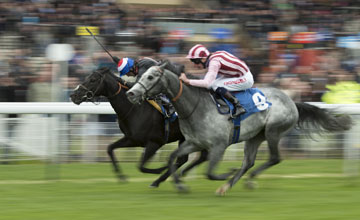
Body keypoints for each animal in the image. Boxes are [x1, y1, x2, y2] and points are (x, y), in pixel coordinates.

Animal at [126, 63, 352, 196]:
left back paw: (241, 181)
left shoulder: (219, 145)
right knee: (249, 162)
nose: (130, 93)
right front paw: (179, 184)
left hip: (272, 131)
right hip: (254, 137)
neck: (195, 107)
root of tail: (292, 101)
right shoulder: (194, 142)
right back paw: (231, 184)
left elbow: (209, 172)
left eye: (150, 77)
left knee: (274, 158)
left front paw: (225, 173)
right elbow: (173, 157)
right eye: (140, 75)